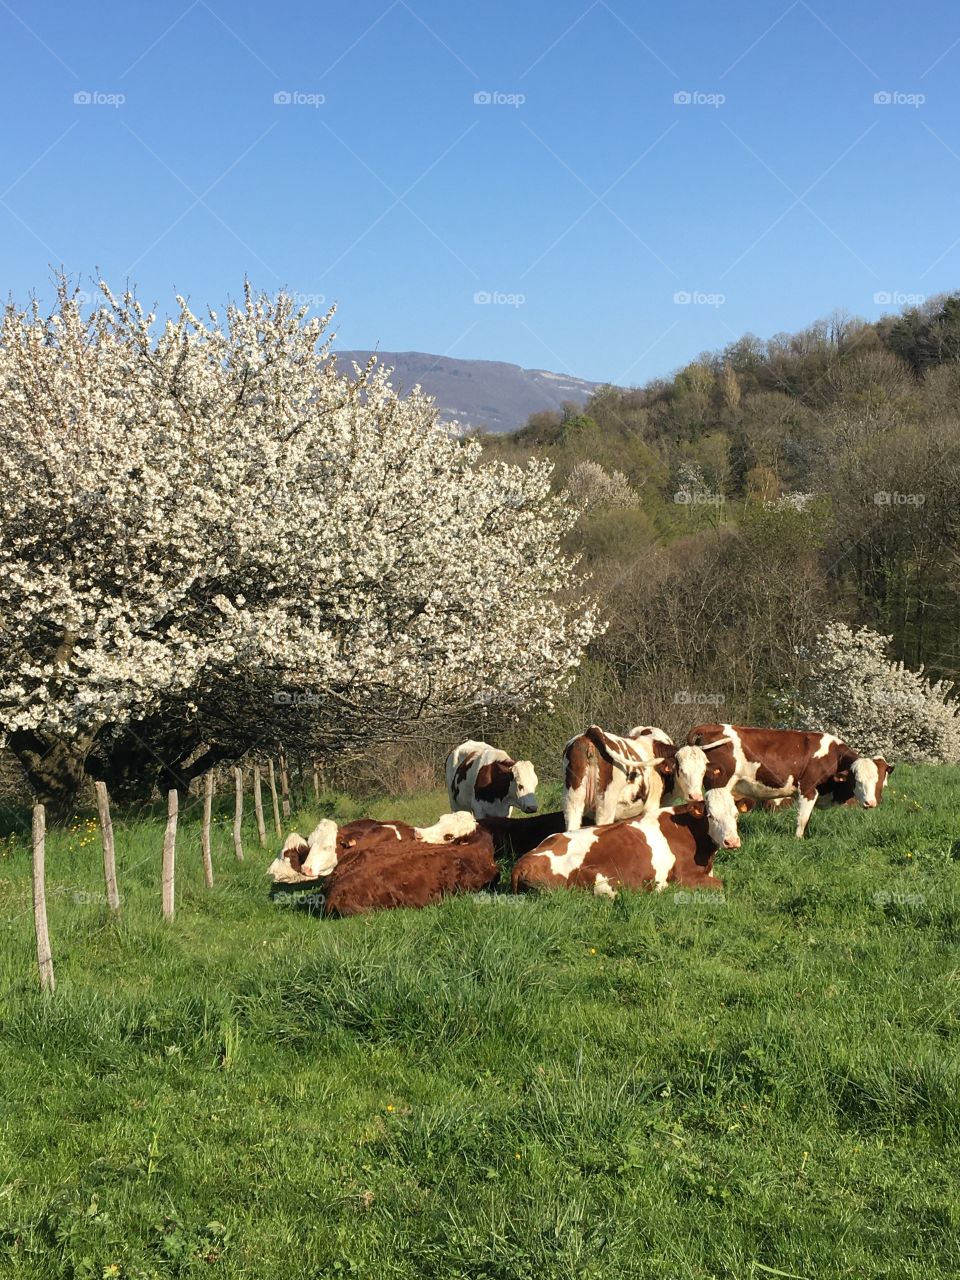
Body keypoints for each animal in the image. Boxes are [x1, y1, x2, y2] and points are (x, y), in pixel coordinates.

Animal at [512, 787, 742, 898]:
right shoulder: (685, 878)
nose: (732, 841)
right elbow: (721, 885)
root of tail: (523, 862)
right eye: (711, 816)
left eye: (736, 814)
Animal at [684, 723, 893, 838]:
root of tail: (712, 726)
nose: (871, 802)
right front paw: (798, 840)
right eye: (857, 779)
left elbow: (807, 818)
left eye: (879, 780)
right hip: (719, 784)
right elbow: (802, 819)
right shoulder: (808, 789)